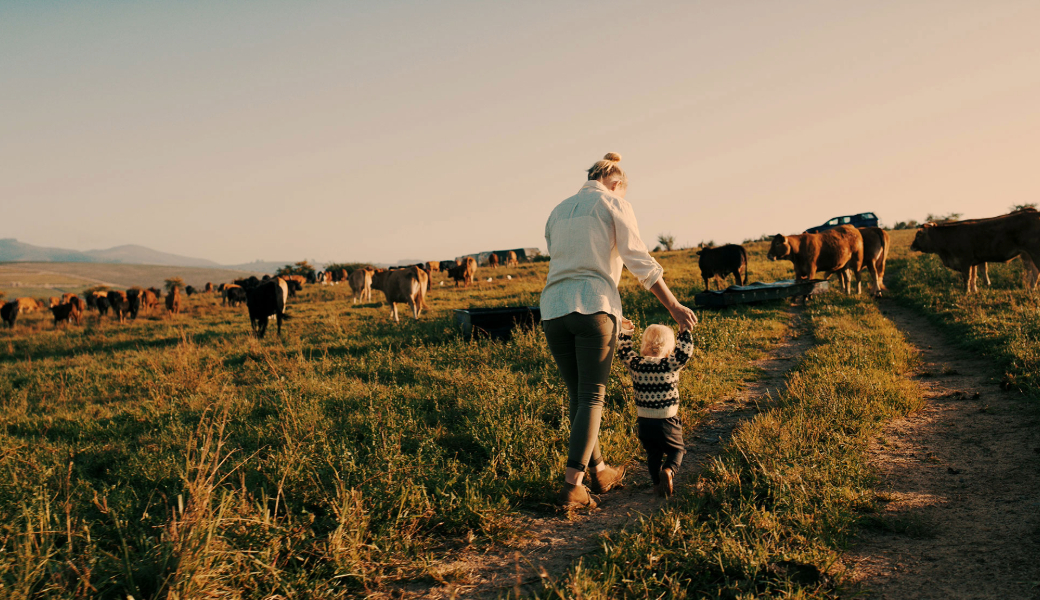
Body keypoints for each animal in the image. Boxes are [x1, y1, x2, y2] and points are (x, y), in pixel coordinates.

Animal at [911, 207, 1040, 293]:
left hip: (1034, 253)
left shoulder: (965, 260)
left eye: (918, 235)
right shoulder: (973, 261)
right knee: (1034, 271)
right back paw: (1031, 289)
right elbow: (974, 277)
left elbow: (966, 277)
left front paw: (966, 292)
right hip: (1027, 254)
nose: (912, 246)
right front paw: (974, 291)